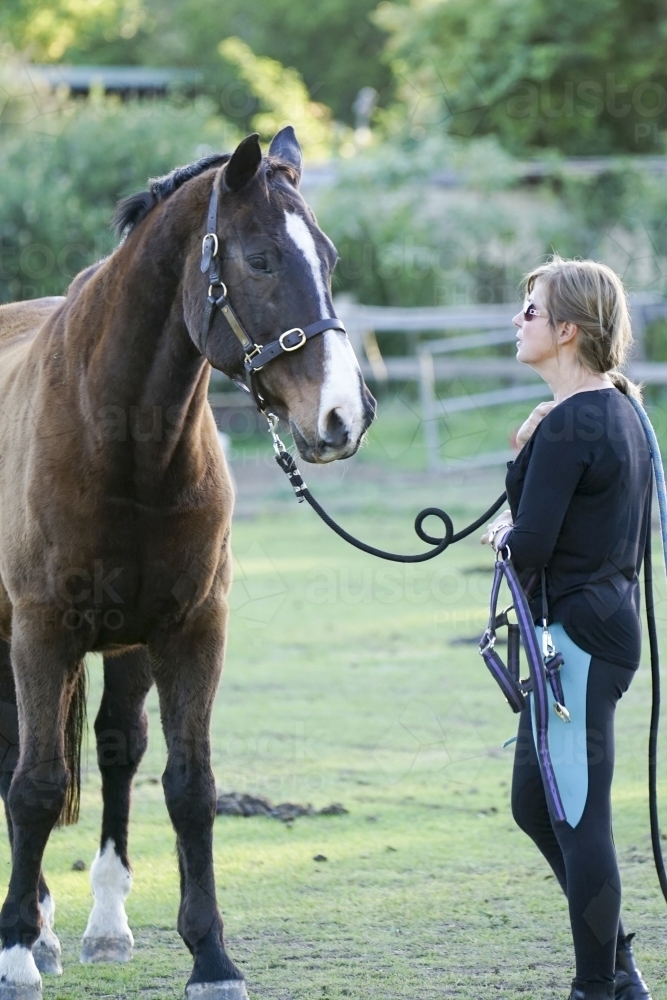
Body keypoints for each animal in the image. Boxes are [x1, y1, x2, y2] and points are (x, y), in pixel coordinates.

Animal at [0, 127, 376, 1000]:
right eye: (262, 259)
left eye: (329, 257)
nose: (344, 416)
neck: (121, 441)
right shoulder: (40, 631)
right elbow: (35, 786)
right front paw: (15, 955)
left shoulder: (189, 630)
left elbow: (189, 788)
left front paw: (211, 957)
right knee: (17, 760)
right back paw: (35, 931)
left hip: (126, 644)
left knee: (115, 746)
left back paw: (100, 926)